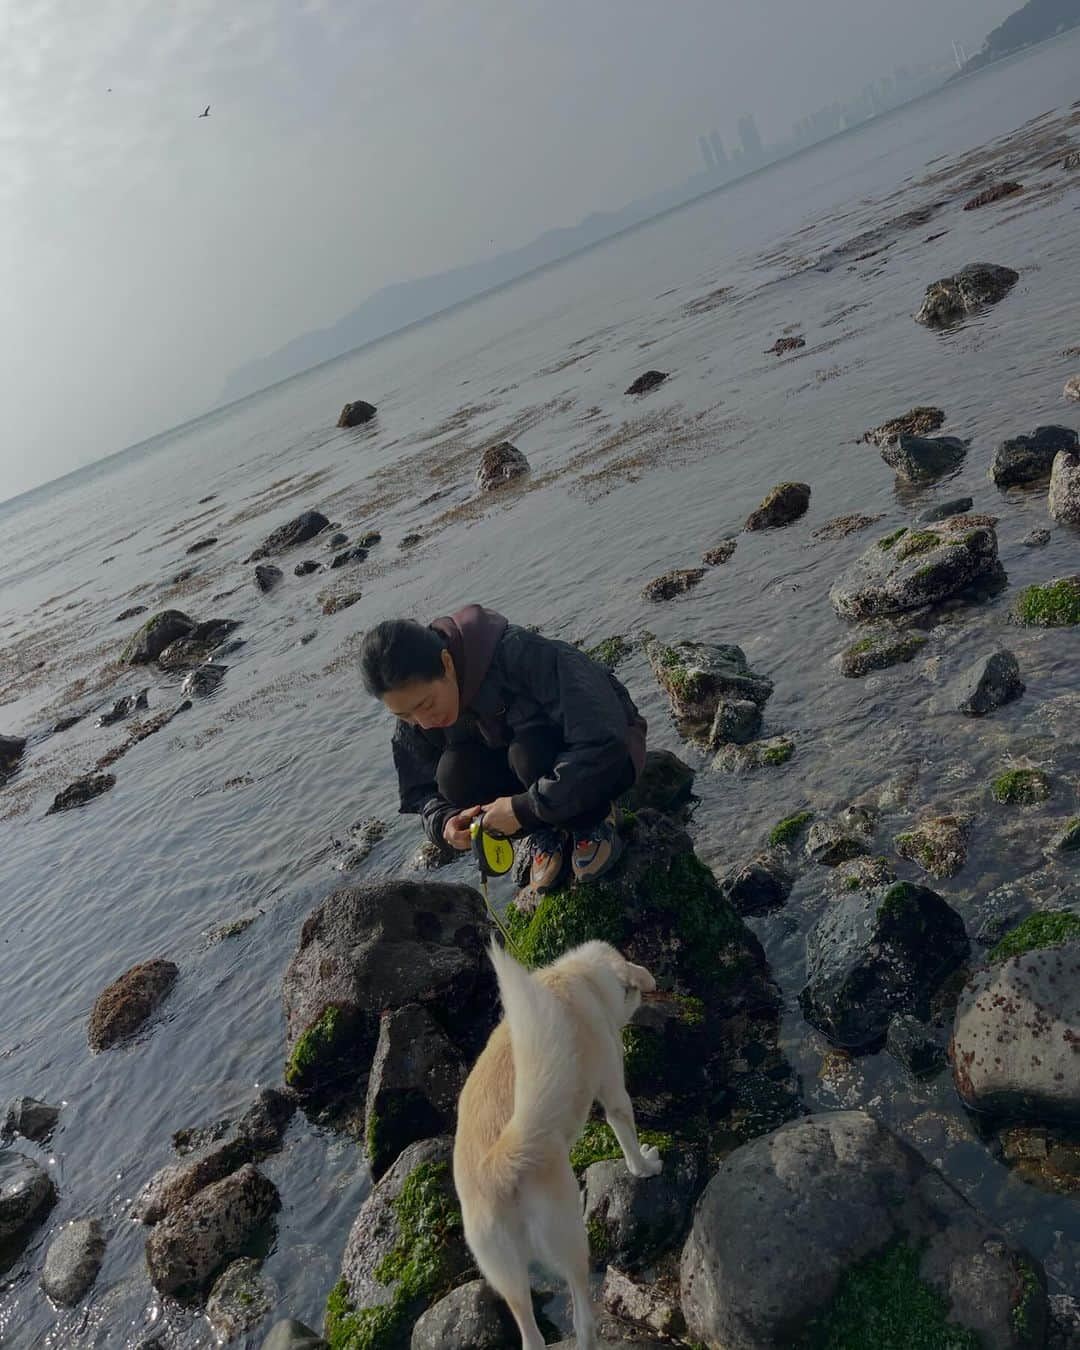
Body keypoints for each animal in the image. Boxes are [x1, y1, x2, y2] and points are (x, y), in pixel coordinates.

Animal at [450, 939, 661, 1350]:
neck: (576, 977)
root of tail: (496, 1169)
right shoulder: (614, 1093)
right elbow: (627, 1139)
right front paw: (645, 1166)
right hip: (571, 1242)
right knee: (582, 1320)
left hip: (507, 1277)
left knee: (531, 1337)